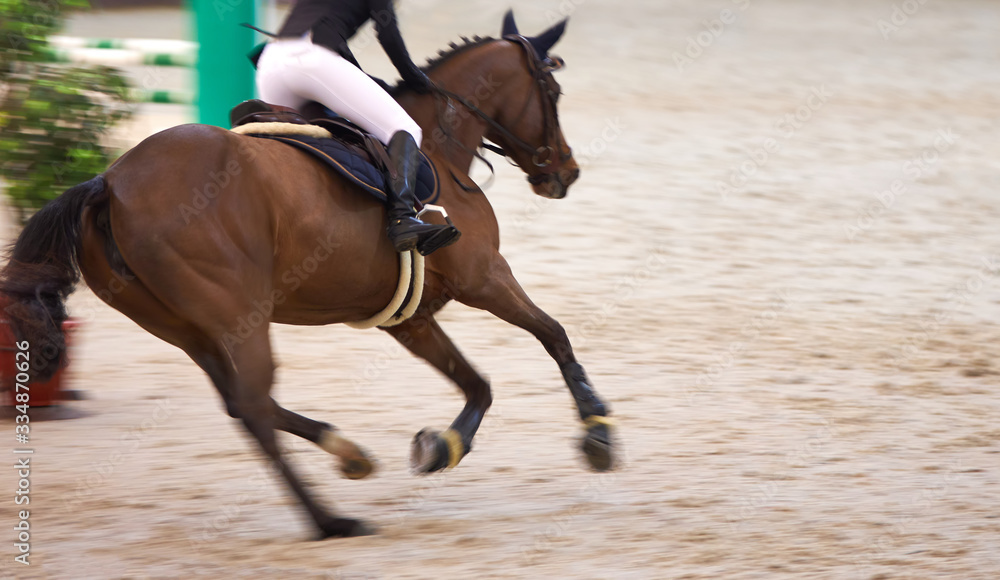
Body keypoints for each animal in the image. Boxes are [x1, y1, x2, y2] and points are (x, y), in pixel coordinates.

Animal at [0, 11, 613, 538]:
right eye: (553, 91)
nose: (566, 172)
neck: (441, 146)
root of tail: (108, 181)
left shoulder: (409, 317)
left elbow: (477, 382)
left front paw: (443, 447)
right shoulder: (483, 277)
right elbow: (553, 334)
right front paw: (598, 432)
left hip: (186, 329)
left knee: (246, 406)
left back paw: (349, 456)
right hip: (240, 316)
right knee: (252, 405)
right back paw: (330, 521)